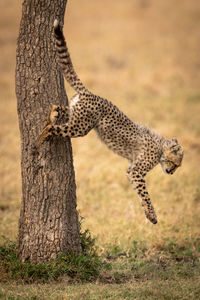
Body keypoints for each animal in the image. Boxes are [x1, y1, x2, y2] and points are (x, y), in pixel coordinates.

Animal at [35, 19, 183, 225]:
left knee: (56, 108)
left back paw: (52, 114)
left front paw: (148, 214)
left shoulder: (131, 170)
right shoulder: (137, 171)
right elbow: (145, 194)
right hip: (80, 127)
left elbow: (139, 192)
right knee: (51, 129)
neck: (161, 147)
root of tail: (92, 94)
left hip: (75, 115)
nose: (171, 172)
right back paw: (38, 142)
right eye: (175, 164)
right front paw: (152, 215)